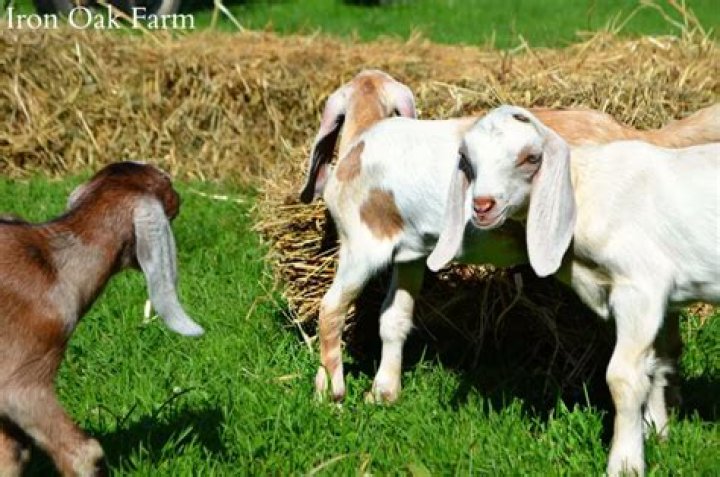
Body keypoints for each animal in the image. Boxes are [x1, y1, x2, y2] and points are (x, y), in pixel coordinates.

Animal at [0, 162, 203, 477]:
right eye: (166, 184)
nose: (180, 195)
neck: (54, 265)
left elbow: (10, 453)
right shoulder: (22, 375)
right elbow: (84, 453)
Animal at [426, 106, 719, 476]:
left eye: (530, 158)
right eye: (467, 159)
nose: (482, 205)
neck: (584, 190)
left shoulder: (639, 288)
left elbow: (624, 378)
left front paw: (625, 462)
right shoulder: (661, 299)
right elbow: (659, 362)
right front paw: (656, 431)